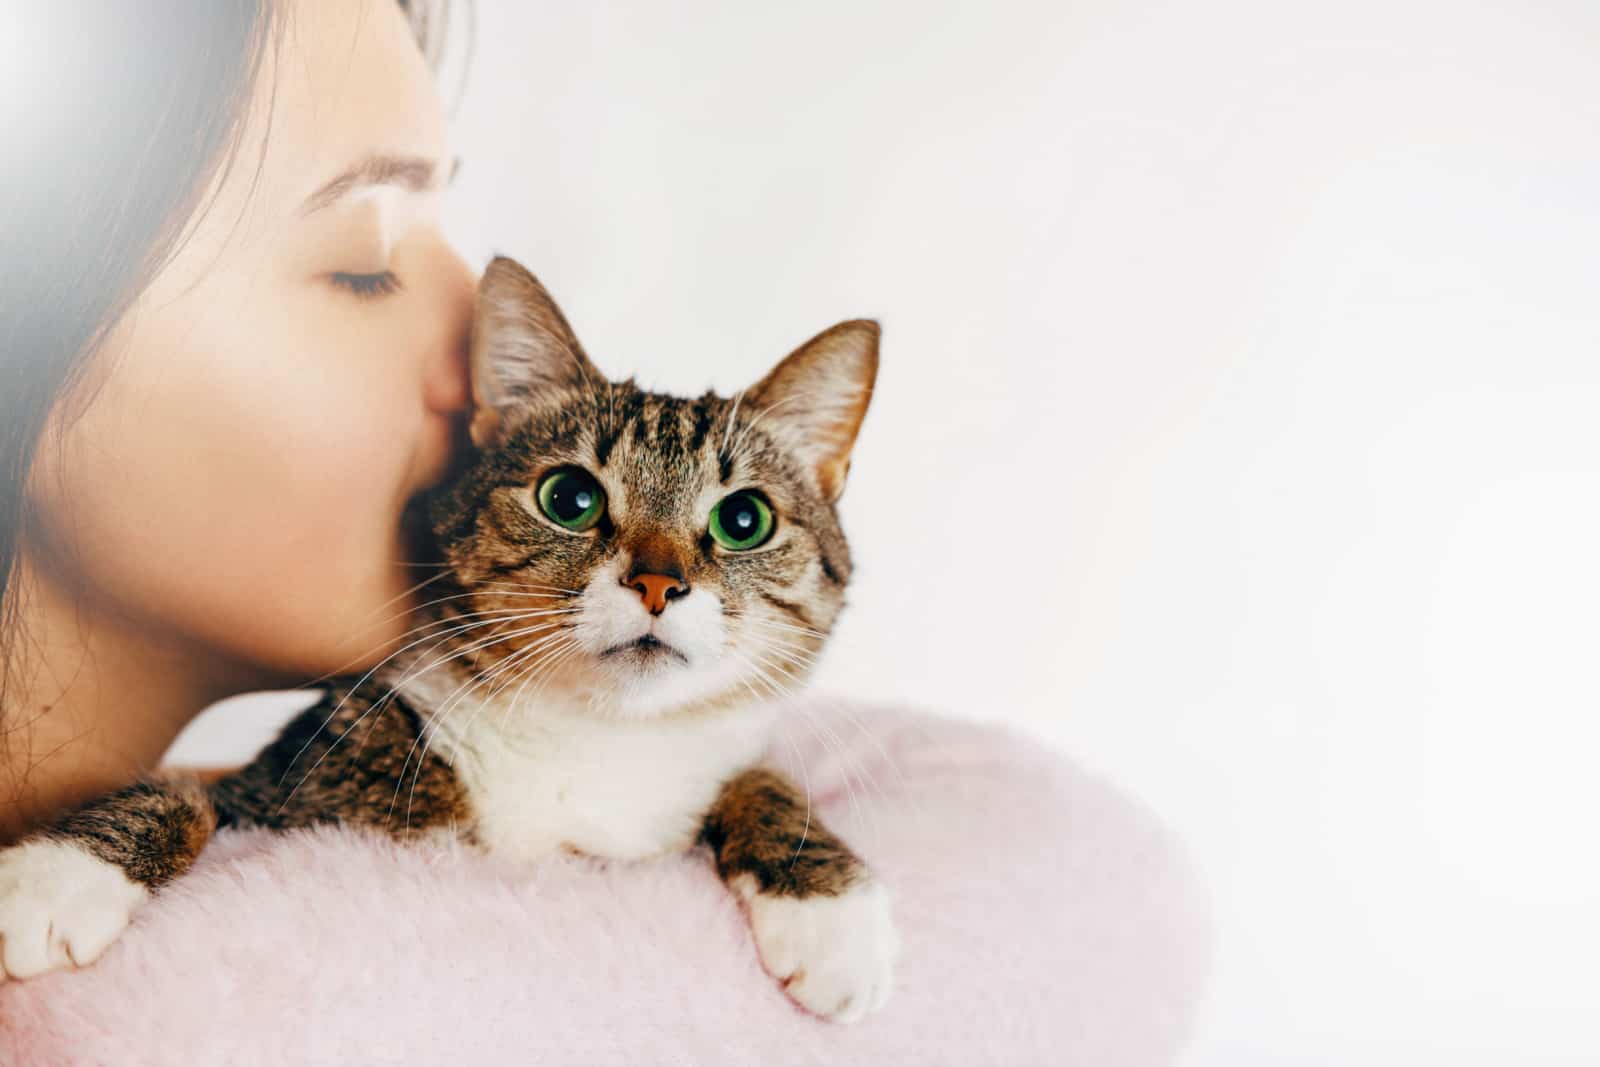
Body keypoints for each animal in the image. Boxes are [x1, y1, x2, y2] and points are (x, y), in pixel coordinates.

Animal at [0, 259, 902, 1023]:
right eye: (569, 497)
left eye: (743, 519)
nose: (657, 582)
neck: (592, 741)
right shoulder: (284, 783)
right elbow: (180, 792)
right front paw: (53, 877)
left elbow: (766, 779)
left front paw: (830, 916)